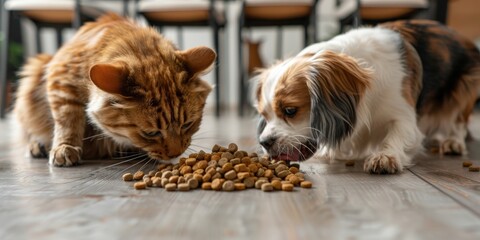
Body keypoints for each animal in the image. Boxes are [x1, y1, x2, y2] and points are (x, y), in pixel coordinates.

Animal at [14, 13, 215, 167]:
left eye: (187, 124)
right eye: (150, 133)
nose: (175, 154)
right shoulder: (61, 78)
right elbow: (67, 119)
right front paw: (64, 147)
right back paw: (37, 146)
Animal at [255, 19, 480, 173]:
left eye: (290, 111)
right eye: (264, 116)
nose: (264, 142)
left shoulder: (404, 116)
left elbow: (398, 133)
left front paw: (385, 156)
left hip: (464, 89)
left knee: (458, 121)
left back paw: (453, 142)